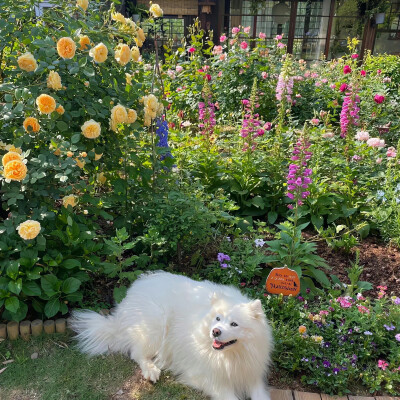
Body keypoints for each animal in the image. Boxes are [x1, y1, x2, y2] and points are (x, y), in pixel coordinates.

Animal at [70, 272, 274, 400]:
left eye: (234, 324)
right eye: (217, 318)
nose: (215, 331)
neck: (231, 356)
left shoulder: (251, 374)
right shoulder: (207, 377)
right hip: (155, 325)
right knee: (136, 353)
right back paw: (151, 370)